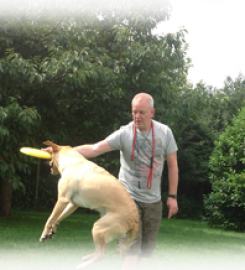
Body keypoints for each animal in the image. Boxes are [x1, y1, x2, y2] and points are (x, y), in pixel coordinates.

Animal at [40, 141, 140, 270]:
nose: (47, 163)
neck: (73, 161)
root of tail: (135, 221)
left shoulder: (62, 199)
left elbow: (50, 219)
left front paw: (44, 234)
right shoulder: (73, 204)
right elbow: (57, 218)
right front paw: (51, 231)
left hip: (98, 228)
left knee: (101, 254)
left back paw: (82, 265)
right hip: (102, 231)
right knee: (103, 250)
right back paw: (87, 258)